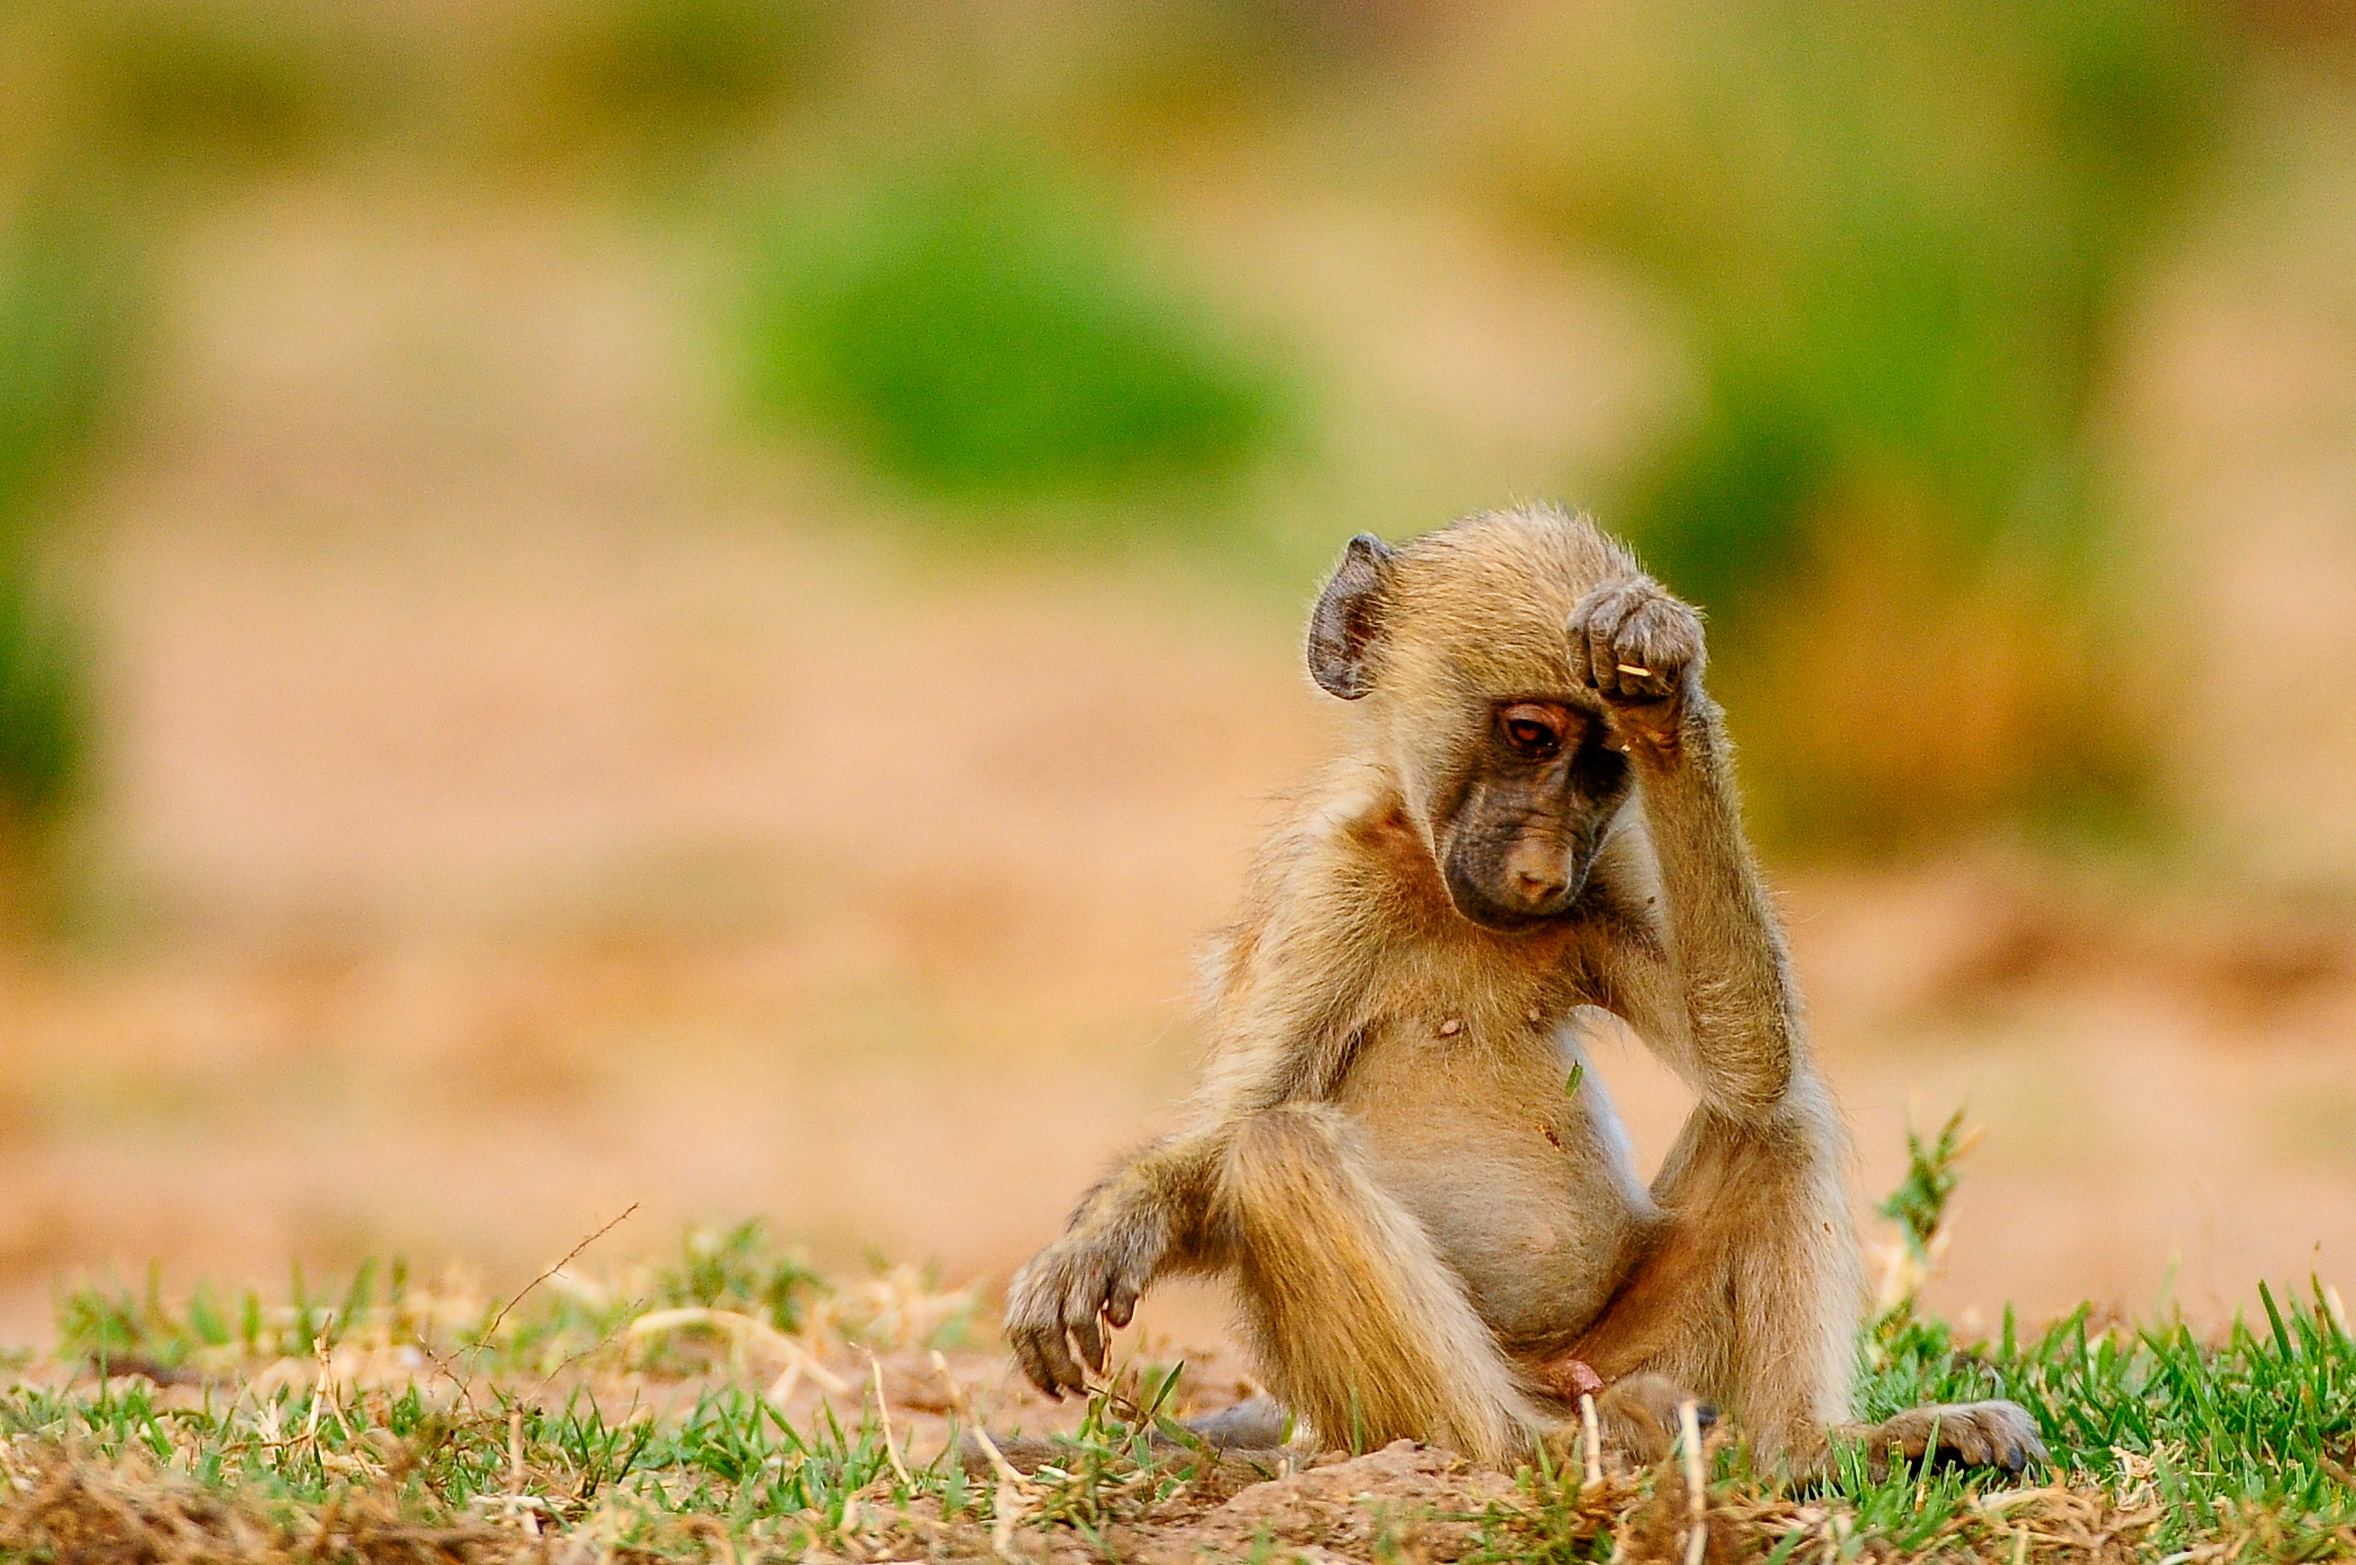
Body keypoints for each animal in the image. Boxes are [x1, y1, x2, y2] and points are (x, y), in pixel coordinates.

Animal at [1002, 503, 2044, 1479]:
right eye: (1530, 733)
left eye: (1606, 763)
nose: (1542, 875)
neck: (1441, 892)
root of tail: (1556, 1380)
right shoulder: (1328, 893)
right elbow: (1226, 1148)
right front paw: (1102, 1240)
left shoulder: (1608, 875)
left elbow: (1748, 1057)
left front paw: (1661, 672)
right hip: (1392, 1402)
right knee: (1280, 1150)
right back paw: (1527, 1449)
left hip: (1631, 1341)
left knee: (1781, 1113)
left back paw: (1819, 1449)